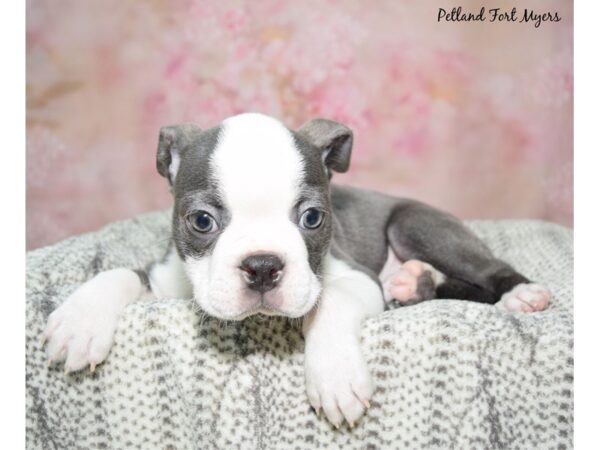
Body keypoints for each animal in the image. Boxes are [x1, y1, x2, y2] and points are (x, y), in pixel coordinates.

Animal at [41, 113, 548, 428]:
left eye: (312, 218)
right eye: (202, 221)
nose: (263, 266)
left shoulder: (354, 278)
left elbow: (331, 302)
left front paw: (335, 375)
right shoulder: (166, 277)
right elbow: (119, 274)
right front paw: (78, 322)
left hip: (416, 225)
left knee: (486, 271)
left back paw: (518, 293)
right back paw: (411, 282)